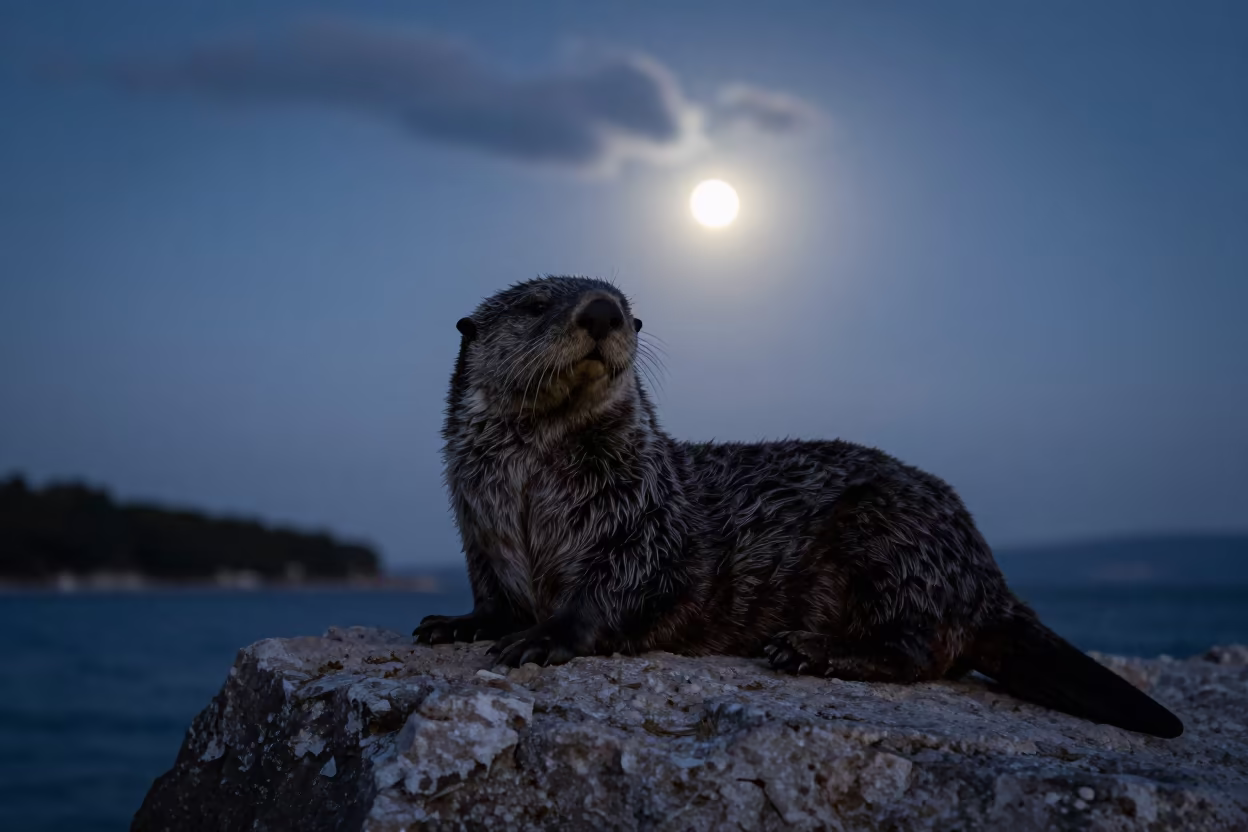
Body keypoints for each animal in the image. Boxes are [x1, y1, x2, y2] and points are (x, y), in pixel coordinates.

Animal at [414, 276, 1183, 739]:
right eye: (536, 304)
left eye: (627, 305)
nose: (602, 312)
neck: (530, 495)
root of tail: (985, 575)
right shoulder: (476, 527)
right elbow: (492, 596)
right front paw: (456, 623)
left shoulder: (643, 520)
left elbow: (618, 585)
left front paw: (546, 636)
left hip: (892, 536)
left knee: (921, 651)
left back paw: (811, 651)